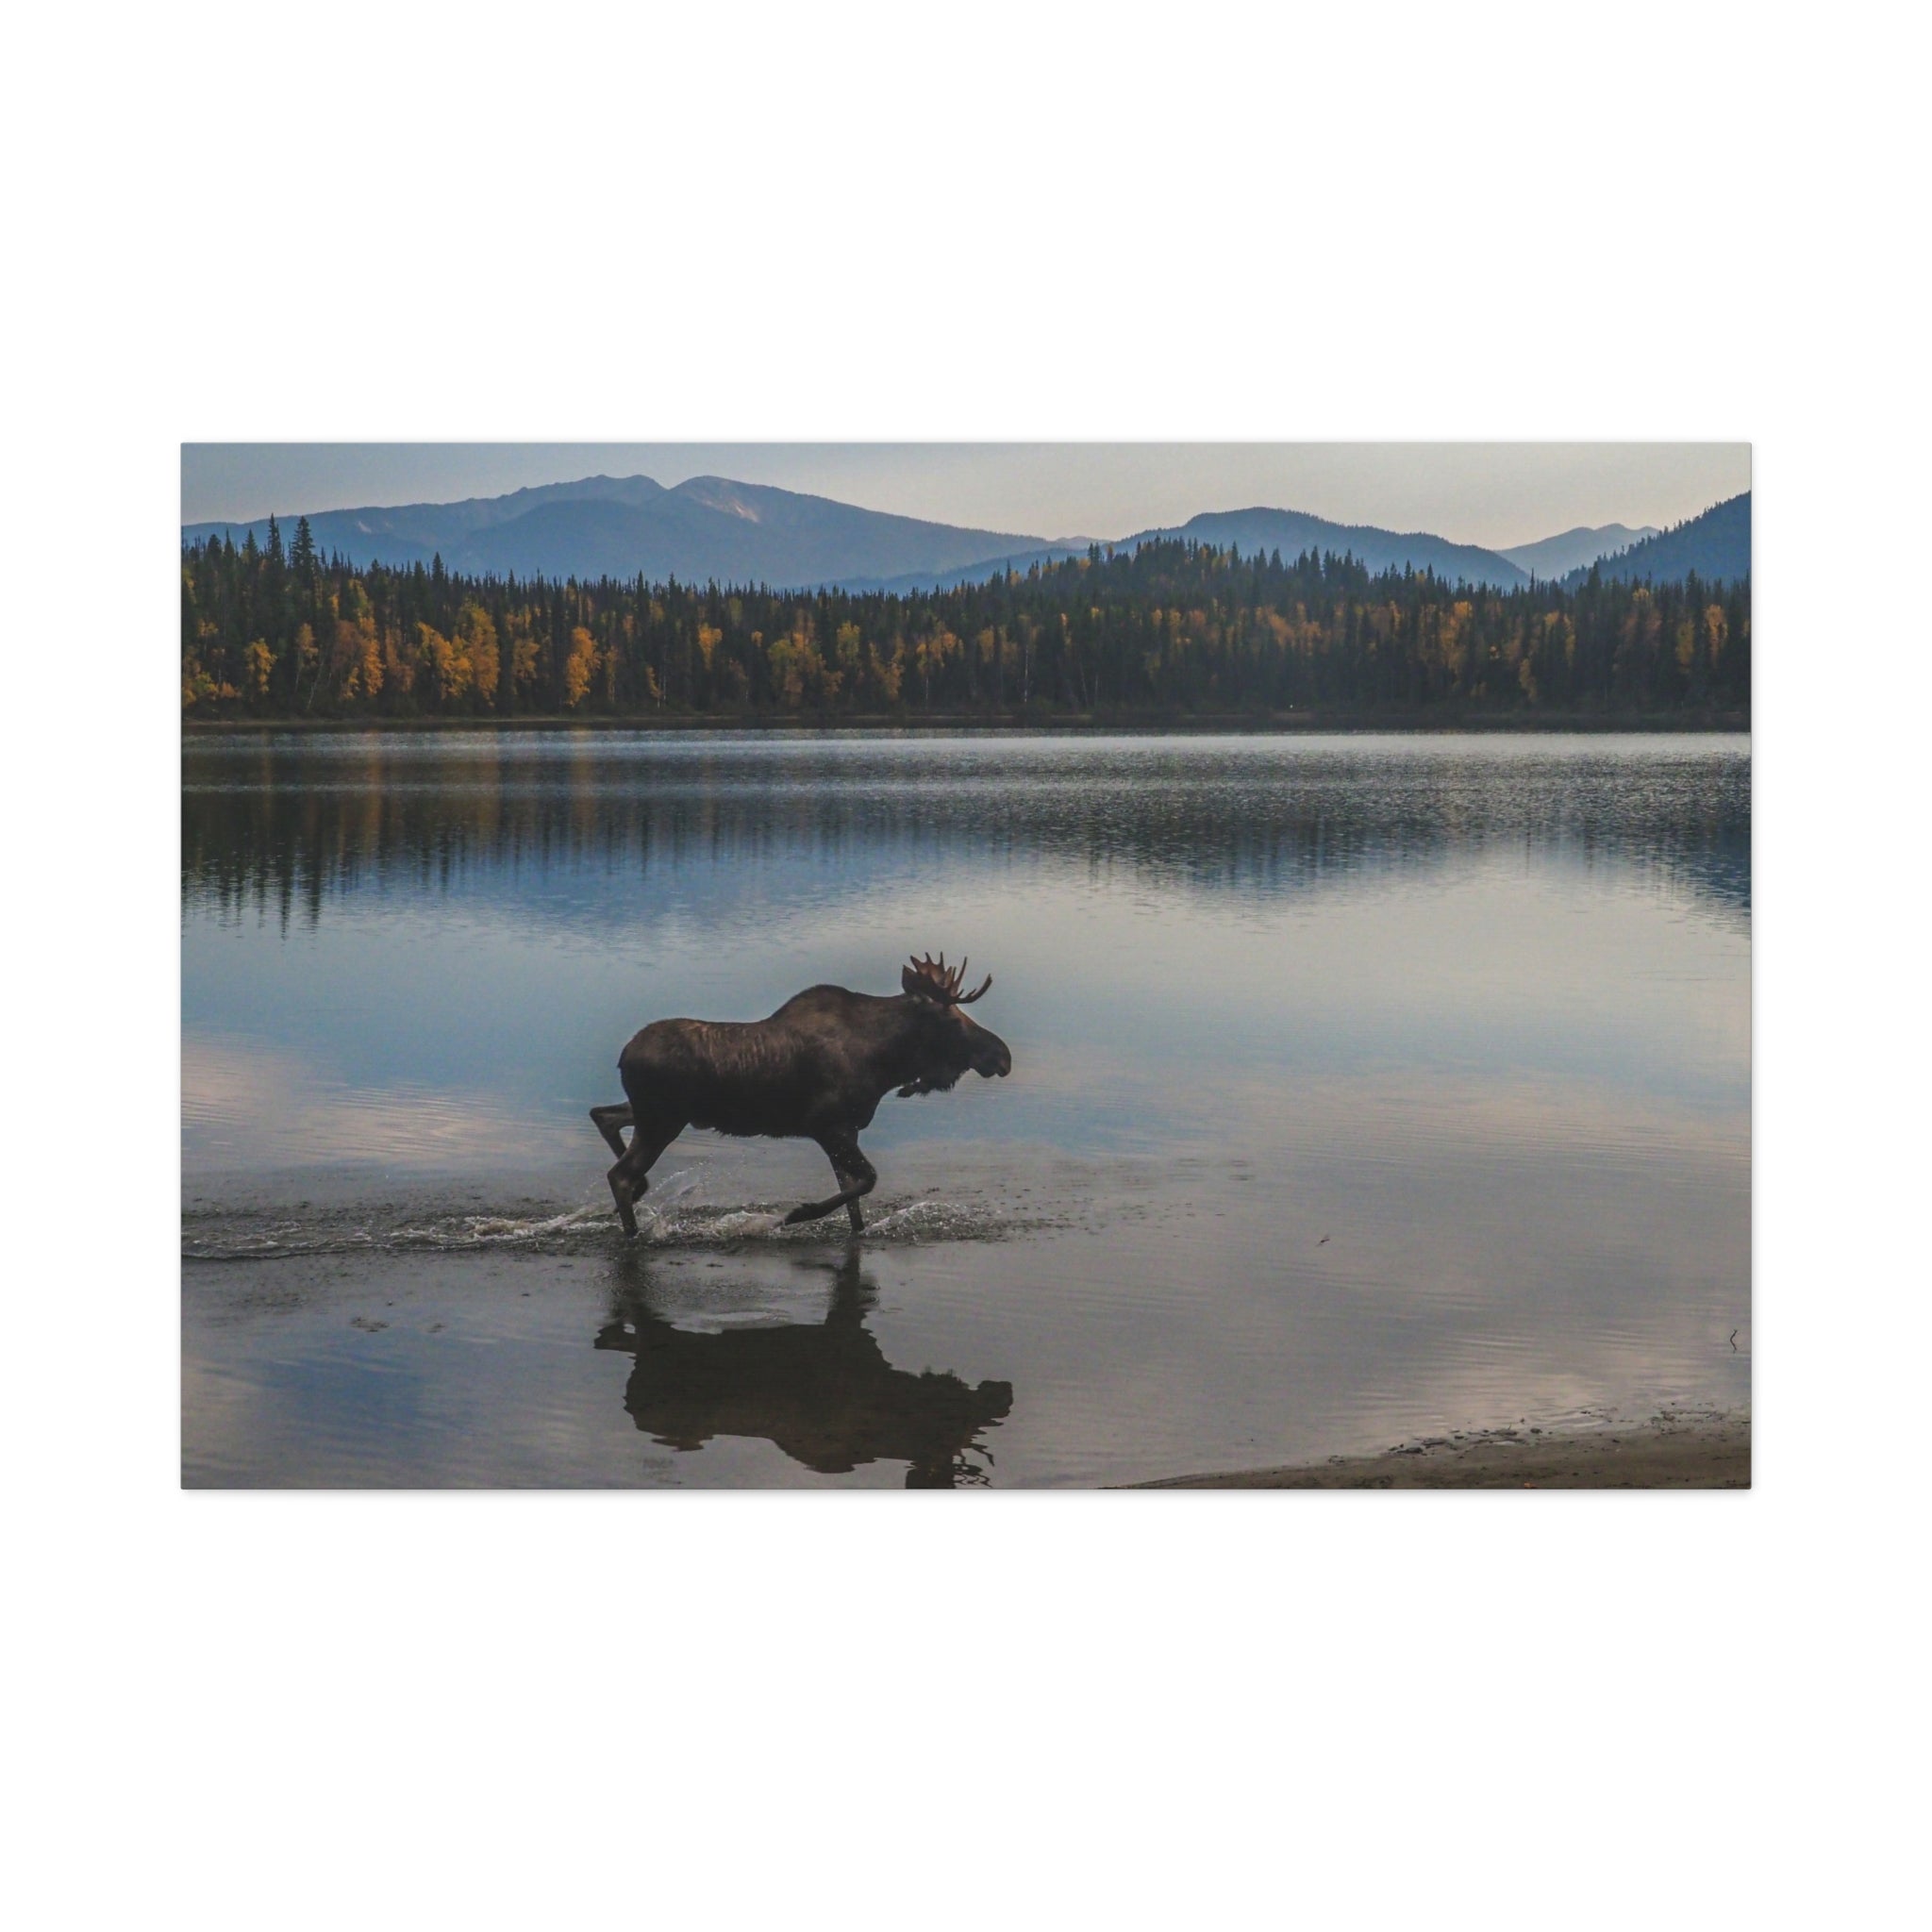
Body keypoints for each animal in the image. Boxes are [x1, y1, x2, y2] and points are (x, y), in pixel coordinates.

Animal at [590, 953, 1012, 1238]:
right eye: (951, 1018)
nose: (1002, 1056)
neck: (886, 1063)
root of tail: (623, 1056)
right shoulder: (826, 1125)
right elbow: (868, 1180)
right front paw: (797, 1214)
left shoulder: (847, 1130)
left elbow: (854, 1200)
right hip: (662, 1120)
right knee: (619, 1174)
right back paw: (633, 1230)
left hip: (654, 1114)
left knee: (603, 1115)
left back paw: (641, 1193)